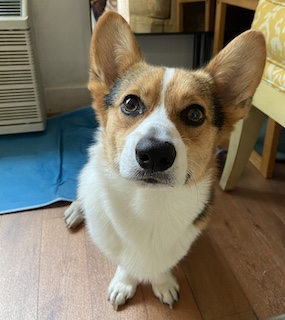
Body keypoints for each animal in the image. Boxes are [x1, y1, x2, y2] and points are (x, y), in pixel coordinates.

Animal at [63, 12, 266, 310]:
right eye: (130, 103)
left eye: (195, 114)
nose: (155, 154)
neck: (150, 204)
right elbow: (126, 263)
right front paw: (124, 283)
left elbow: (162, 266)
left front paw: (163, 284)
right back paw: (77, 210)